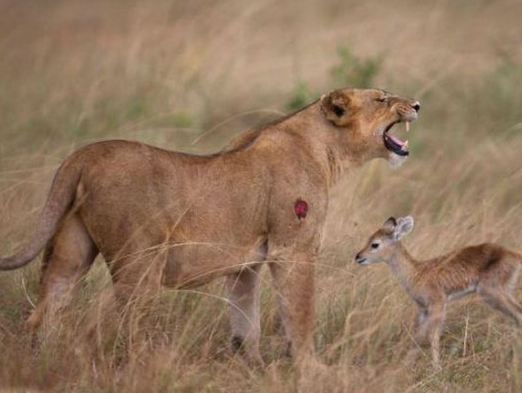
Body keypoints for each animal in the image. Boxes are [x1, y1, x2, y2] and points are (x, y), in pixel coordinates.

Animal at [354, 216, 520, 366]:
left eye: (375, 244)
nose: (358, 257)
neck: (416, 273)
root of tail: (514, 255)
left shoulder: (438, 304)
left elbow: (432, 336)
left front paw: (436, 368)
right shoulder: (423, 309)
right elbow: (417, 336)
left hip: (493, 293)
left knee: (518, 313)